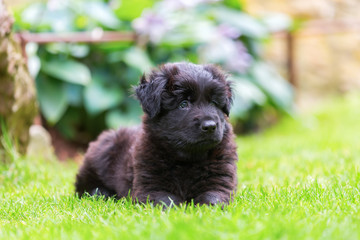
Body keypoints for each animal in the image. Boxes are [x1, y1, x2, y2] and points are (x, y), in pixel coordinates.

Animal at [74, 62, 238, 206]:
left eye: (214, 103)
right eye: (183, 104)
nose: (210, 126)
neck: (187, 158)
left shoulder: (220, 179)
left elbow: (213, 197)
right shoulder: (150, 187)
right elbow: (167, 201)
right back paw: (101, 193)